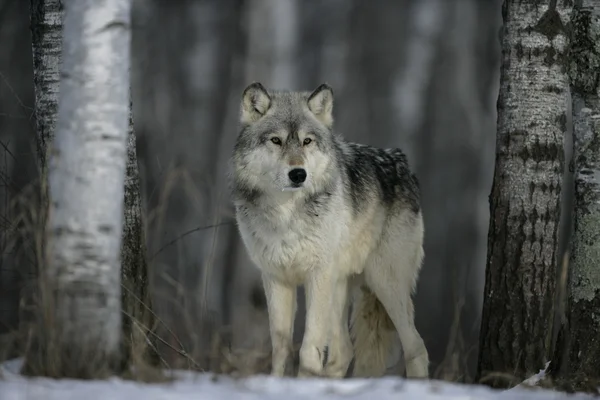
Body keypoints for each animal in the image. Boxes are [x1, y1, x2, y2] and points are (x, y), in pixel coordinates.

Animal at [230, 82, 432, 378]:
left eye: (307, 141)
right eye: (276, 141)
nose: (298, 174)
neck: (286, 213)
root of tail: (403, 163)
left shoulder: (317, 275)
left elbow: (308, 349)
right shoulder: (276, 278)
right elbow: (281, 349)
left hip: (384, 282)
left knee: (416, 347)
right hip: (340, 288)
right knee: (344, 352)